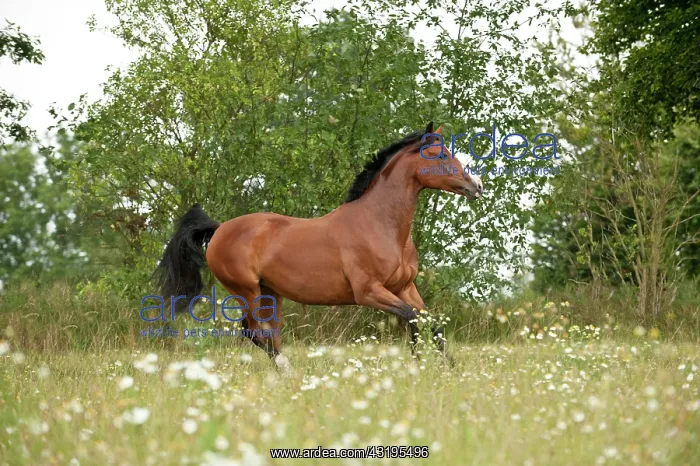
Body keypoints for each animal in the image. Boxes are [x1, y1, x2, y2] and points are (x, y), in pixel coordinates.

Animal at [153, 122, 483, 373]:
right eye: (439, 154)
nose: (476, 186)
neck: (380, 224)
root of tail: (220, 228)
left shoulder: (404, 287)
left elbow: (429, 324)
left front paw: (444, 368)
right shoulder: (369, 292)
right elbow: (413, 319)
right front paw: (424, 366)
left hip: (270, 293)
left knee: (264, 334)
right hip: (246, 291)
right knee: (256, 332)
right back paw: (287, 371)